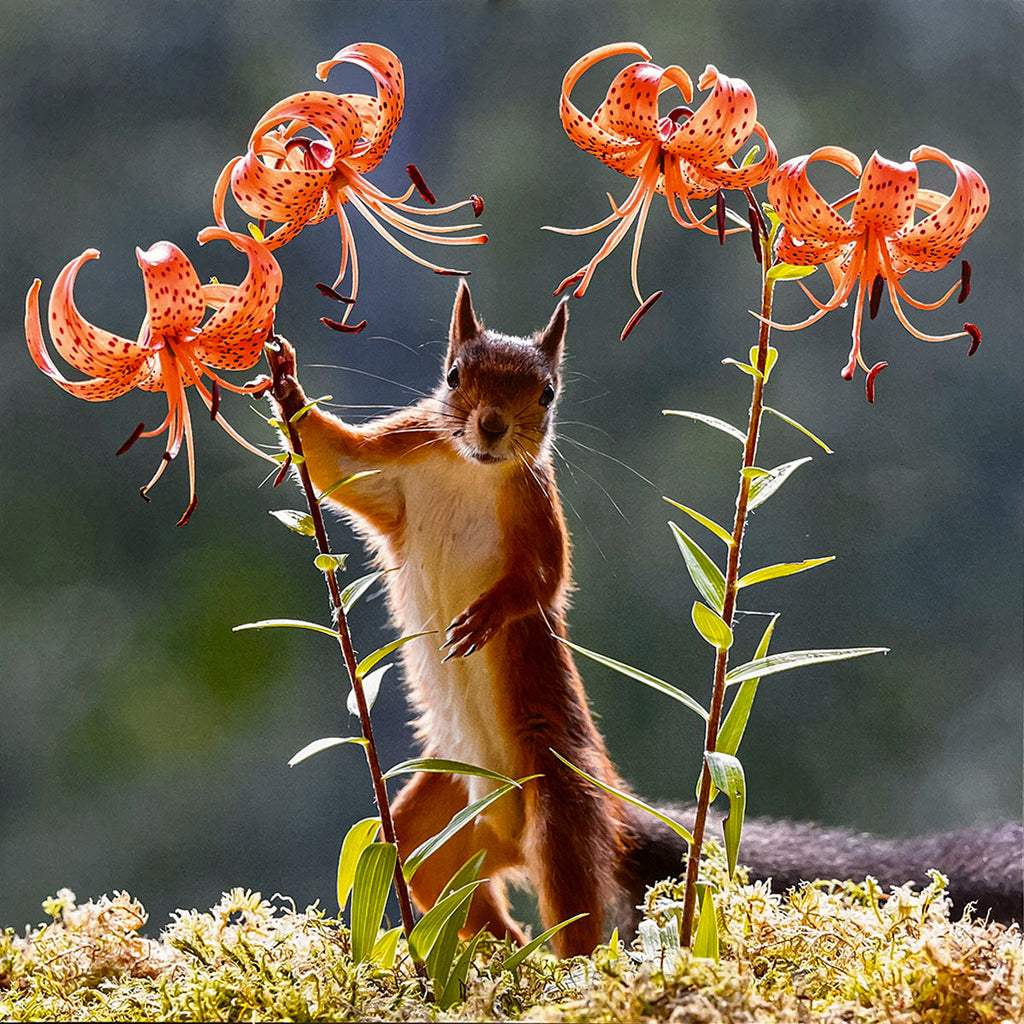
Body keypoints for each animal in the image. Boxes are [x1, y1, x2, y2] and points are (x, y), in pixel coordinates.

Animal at [268, 282, 1022, 957]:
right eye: (455, 376)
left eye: (546, 393)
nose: (491, 427)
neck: (471, 470)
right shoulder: (401, 457)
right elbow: (334, 463)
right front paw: (285, 386)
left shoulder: (538, 510)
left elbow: (545, 582)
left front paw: (487, 616)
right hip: (439, 812)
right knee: (432, 870)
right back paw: (489, 950)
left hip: (558, 797)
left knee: (572, 906)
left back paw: (554, 970)